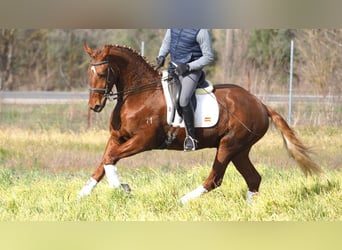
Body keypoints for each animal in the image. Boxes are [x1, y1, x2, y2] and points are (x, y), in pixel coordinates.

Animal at [78, 43, 324, 203]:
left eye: (102, 72)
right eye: (88, 72)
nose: (94, 106)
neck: (139, 94)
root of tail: (261, 104)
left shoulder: (144, 140)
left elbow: (110, 159)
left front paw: (123, 188)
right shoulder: (117, 137)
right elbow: (103, 162)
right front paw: (82, 195)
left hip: (229, 145)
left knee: (215, 179)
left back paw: (182, 201)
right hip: (240, 150)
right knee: (253, 178)